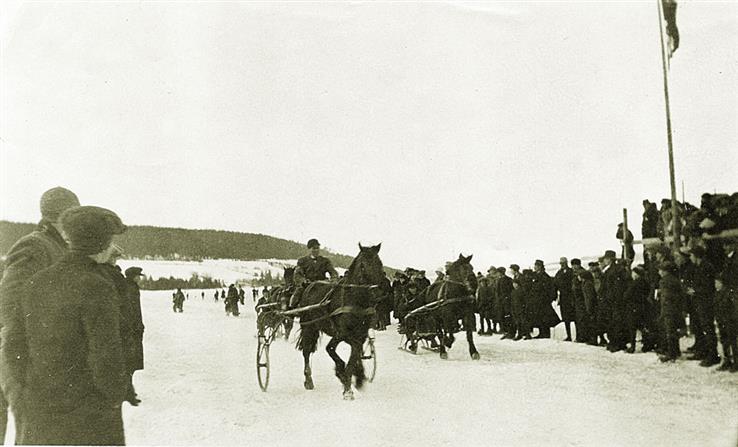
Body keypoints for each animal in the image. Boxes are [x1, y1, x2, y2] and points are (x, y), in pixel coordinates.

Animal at [294, 245, 382, 402]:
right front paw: (345, 380)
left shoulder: (359, 335)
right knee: (306, 352)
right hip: (308, 327)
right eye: (362, 266)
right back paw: (308, 380)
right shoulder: (342, 334)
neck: (355, 300)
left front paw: (357, 378)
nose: (377, 293)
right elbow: (332, 350)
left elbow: (355, 355)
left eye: (380, 263)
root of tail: (309, 285)